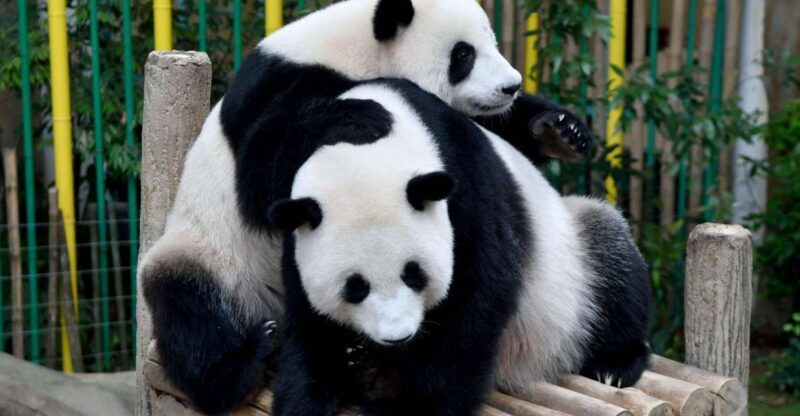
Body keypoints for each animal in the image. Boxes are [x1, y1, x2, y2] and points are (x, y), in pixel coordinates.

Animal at [141, 0, 595, 413]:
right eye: (463, 54)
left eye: (493, 42)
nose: (510, 86)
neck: (356, 48)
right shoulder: (278, 85)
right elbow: (261, 169)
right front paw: (361, 115)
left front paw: (560, 131)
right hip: (211, 254)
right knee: (189, 310)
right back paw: (242, 367)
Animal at [266, 80, 651, 415]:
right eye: (355, 287)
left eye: (414, 274)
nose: (397, 337)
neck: (363, 148)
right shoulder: (296, 227)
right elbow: (308, 317)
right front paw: (305, 397)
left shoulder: (465, 183)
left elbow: (478, 296)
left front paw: (416, 405)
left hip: (573, 268)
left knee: (611, 254)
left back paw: (615, 363)